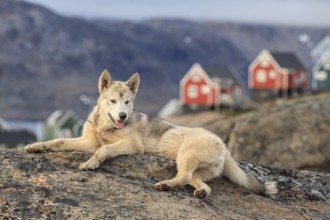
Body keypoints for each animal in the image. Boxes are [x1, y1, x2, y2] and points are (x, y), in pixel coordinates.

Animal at [25, 71, 278, 199]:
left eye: (128, 102)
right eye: (113, 101)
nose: (123, 116)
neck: (106, 125)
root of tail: (223, 146)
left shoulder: (132, 145)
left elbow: (104, 149)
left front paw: (92, 163)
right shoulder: (87, 142)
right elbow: (59, 141)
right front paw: (37, 146)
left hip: (185, 156)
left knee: (183, 177)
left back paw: (164, 185)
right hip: (197, 169)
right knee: (204, 186)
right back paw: (197, 192)